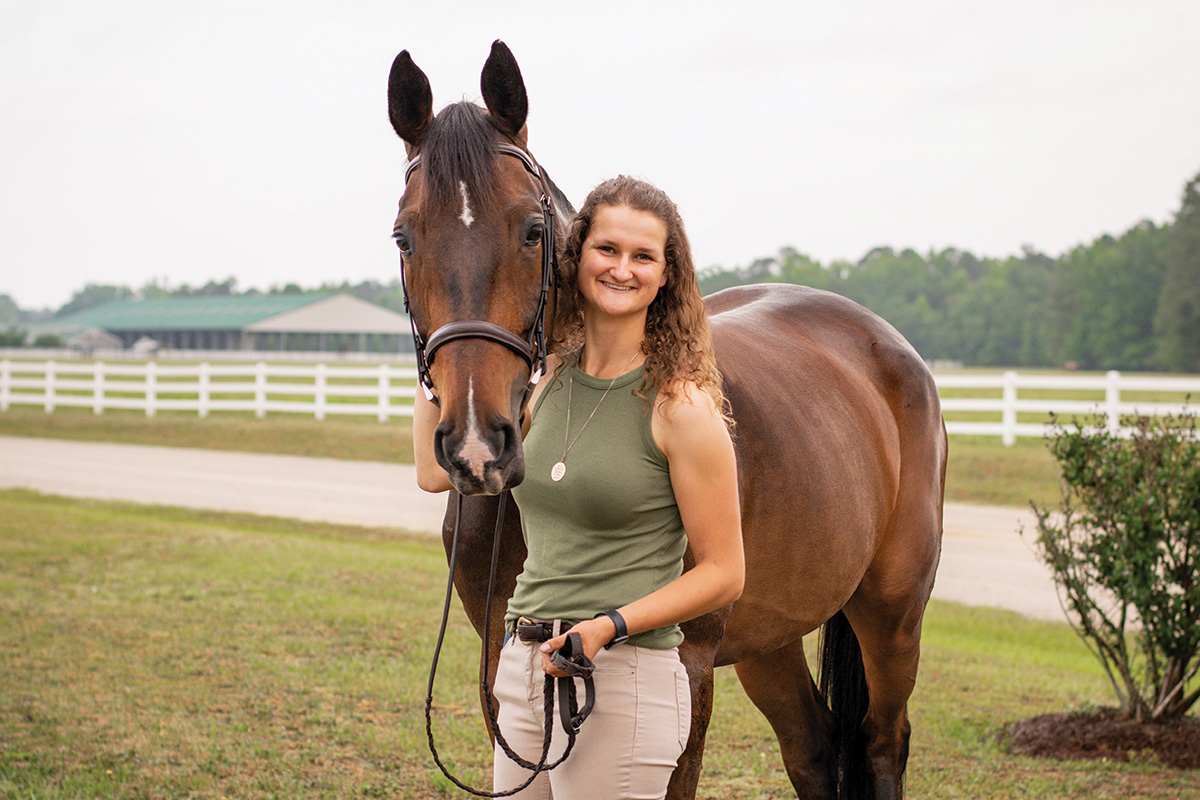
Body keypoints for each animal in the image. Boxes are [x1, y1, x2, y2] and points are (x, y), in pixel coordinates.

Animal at [387, 41, 946, 800]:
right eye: (404, 237)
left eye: (532, 230)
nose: (477, 444)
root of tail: (887, 344)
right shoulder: (500, 668)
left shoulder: (688, 666)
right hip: (772, 636)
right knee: (813, 743)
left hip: (891, 615)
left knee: (882, 742)